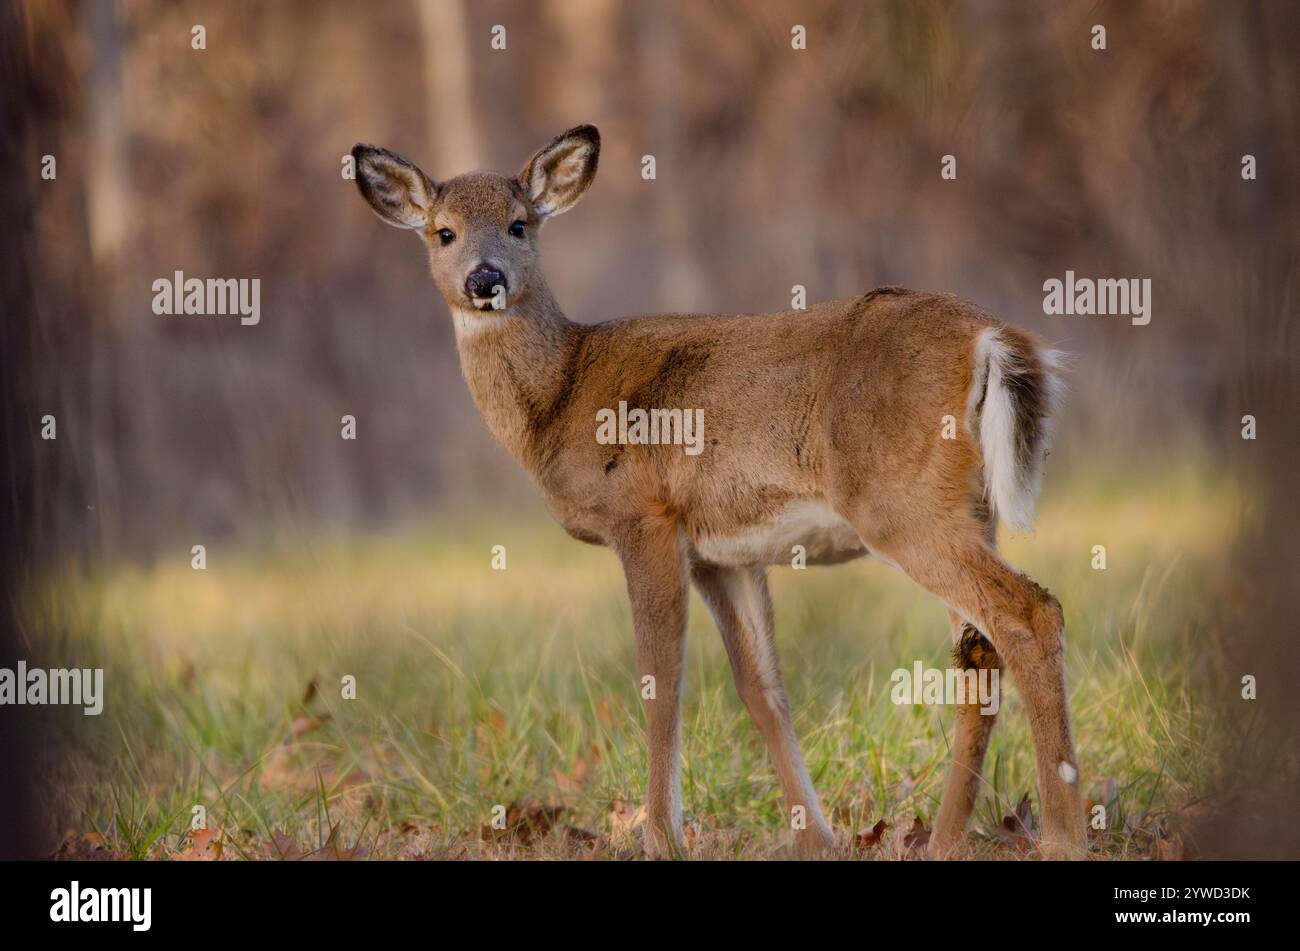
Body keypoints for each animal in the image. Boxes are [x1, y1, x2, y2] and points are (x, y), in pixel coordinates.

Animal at [348, 122, 1086, 857]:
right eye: (443, 231)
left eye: (519, 223)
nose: (485, 279)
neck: (560, 396)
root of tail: (991, 338)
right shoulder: (721, 553)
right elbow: (761, 690)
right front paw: (817, 838)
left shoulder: (644, 517)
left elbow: (661, 685)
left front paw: (661, 836)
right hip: (968, 508)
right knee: (977, 649)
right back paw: (946, 837)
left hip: (900, 504)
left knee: (1028, 612)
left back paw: (1060, 833)